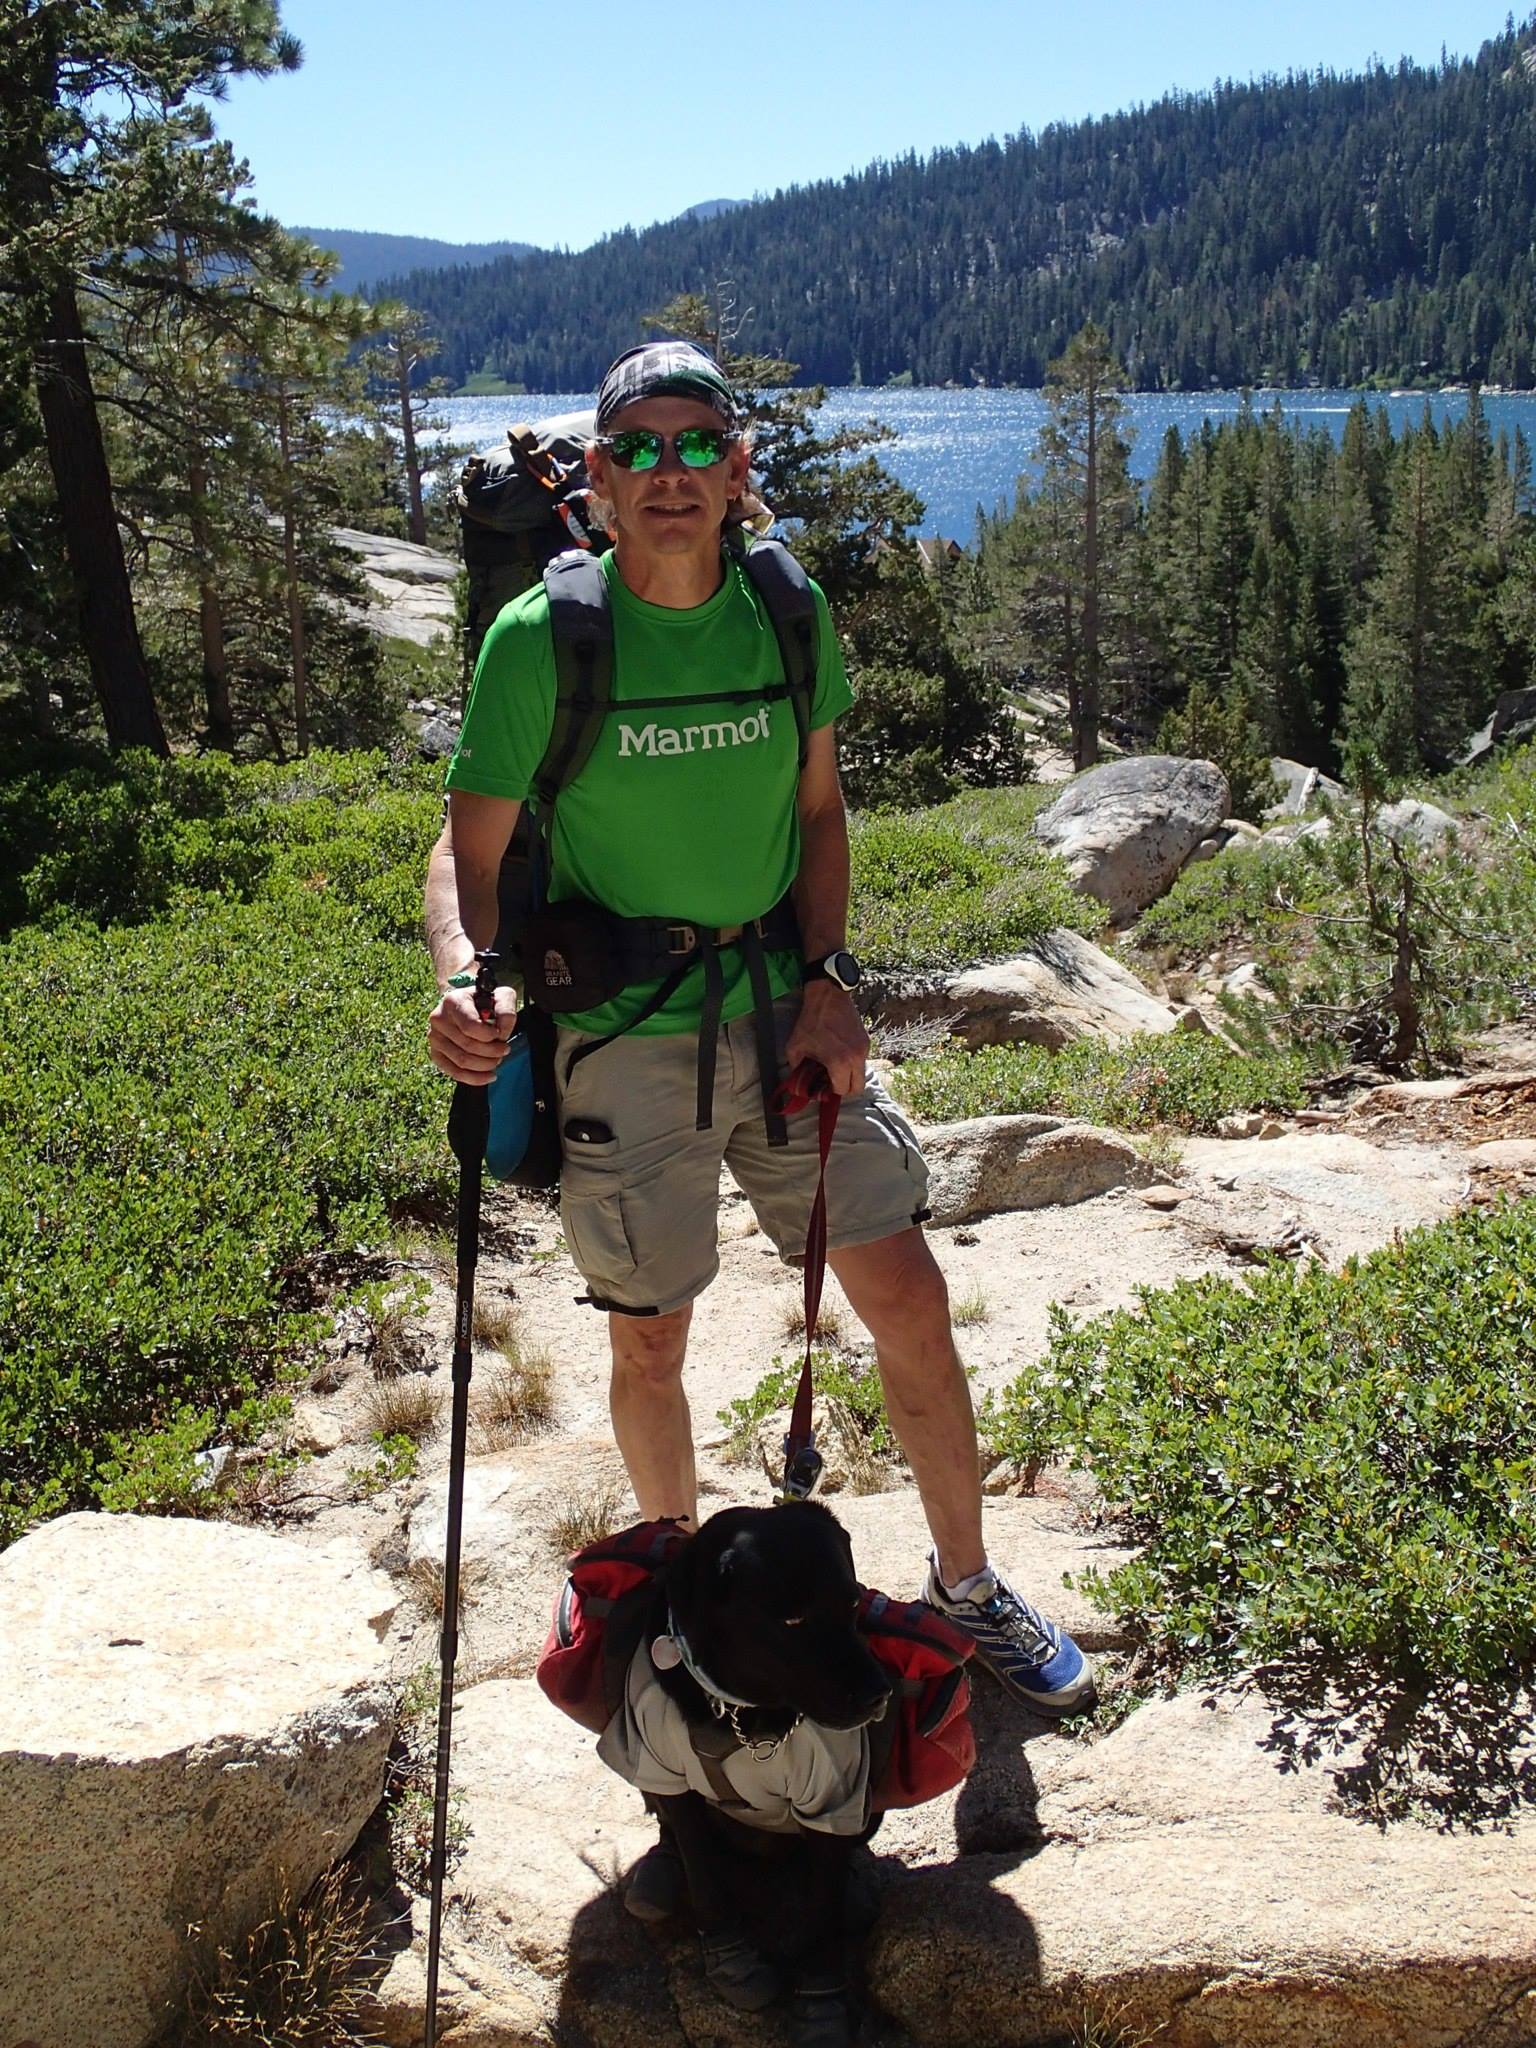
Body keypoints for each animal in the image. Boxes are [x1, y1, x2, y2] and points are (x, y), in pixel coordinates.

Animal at [598, 1499, 888, 2039]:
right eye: (793, 1619)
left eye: (854, 1603)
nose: (879, 1695)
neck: (742, 1714)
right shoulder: (668, 1774)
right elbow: (704, 1876)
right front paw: (732, 1960)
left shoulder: (832, 1794)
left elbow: (822, 1910)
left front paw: (821, 2001)